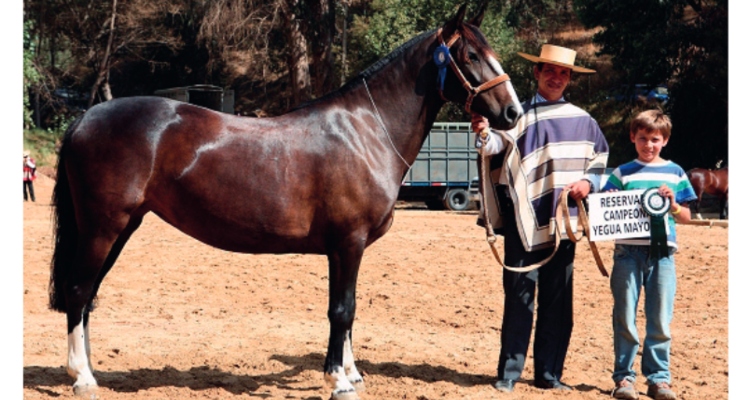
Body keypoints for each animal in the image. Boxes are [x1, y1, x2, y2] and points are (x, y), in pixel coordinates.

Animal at [50, 3, 524, 400]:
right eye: (471, 56)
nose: (513, 113)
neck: (367, 131)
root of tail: (85, 117)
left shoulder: (346, 249)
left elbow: (349, 312)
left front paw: (351, 373)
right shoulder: (348, 243)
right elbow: (341, 311)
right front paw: (339, 381)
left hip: (122, 226)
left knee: (87, 295)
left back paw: (87, 371)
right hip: (103, 226)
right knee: (78, 290)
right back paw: (83, 378)